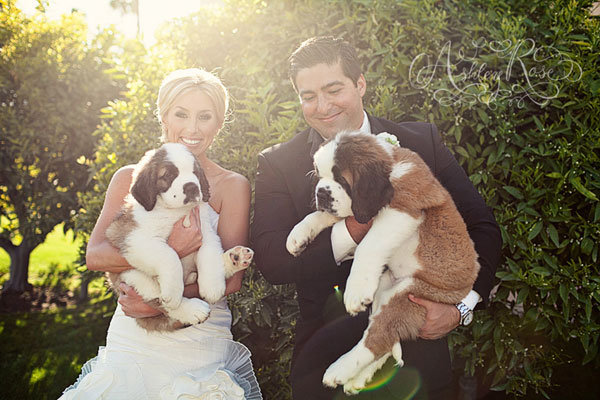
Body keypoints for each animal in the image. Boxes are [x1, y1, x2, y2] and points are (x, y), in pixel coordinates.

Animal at [105, 143, 251, 332]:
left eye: (195, 172)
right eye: (168, 175)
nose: (191, 187)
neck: (176, 211)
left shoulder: (206, 232)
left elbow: (209, 253)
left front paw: (212, 286)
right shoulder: (133, 238)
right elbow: (169, 255)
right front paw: (175, 292)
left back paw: (235, 258)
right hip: (130, 277)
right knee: (159, 301)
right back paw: (192, 309)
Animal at [284, 130, 478, 394]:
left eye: (341, 179)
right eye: (319, 176)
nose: (320, 193)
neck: (390, 167)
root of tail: (464, 288)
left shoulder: (402, 210)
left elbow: (368, 245)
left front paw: (355, 291)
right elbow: (323, 217)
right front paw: (298, 234)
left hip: (412, 294)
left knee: (377, 338)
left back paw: (339, 371)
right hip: (384, 288)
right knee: (384, 338)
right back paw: (357, 379)